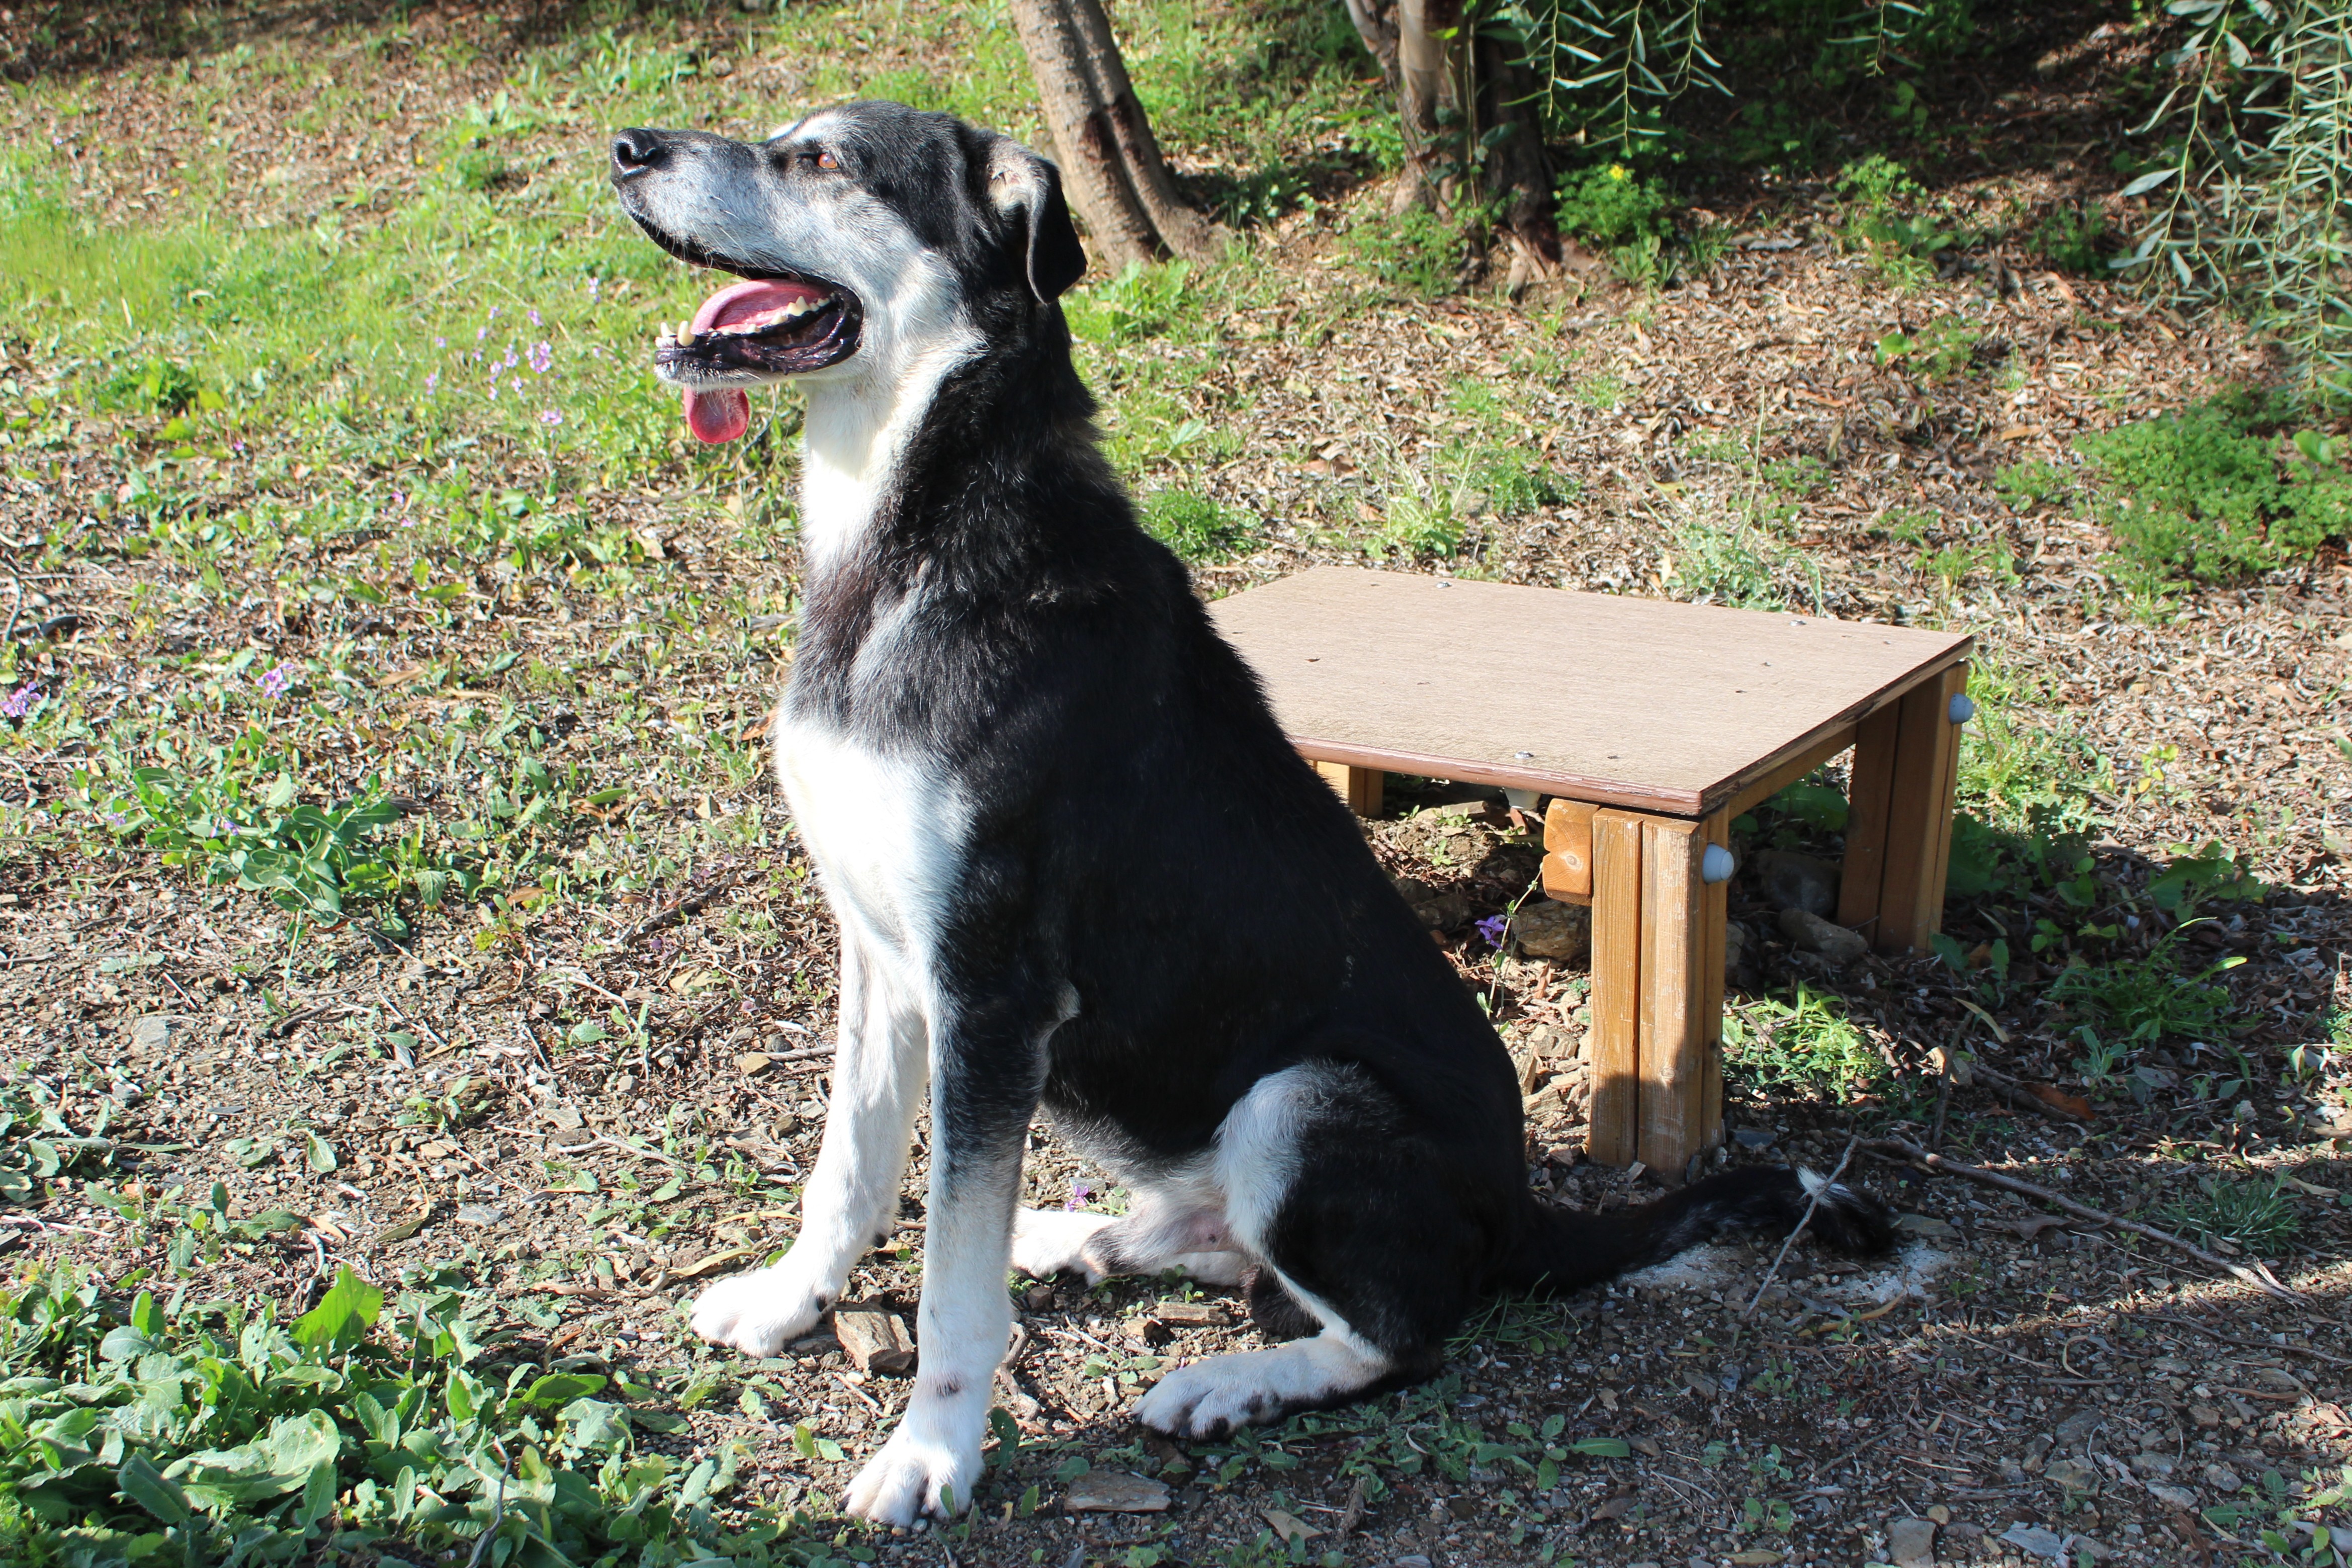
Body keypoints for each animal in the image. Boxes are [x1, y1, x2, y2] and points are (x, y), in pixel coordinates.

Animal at [612, 104, 1891, 1523]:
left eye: (824, 160)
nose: (628, 148)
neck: (910, 544)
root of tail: (1525, 1208)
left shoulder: (992, 990)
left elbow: (949, 1278)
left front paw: (932, 1452)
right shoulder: (880, 956)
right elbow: (849, 1170)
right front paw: (792, 1301)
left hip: (1301, 1095)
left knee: (1399, 1329)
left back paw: (1229, 1380)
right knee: (1219, 1247)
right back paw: (1077, 1236)